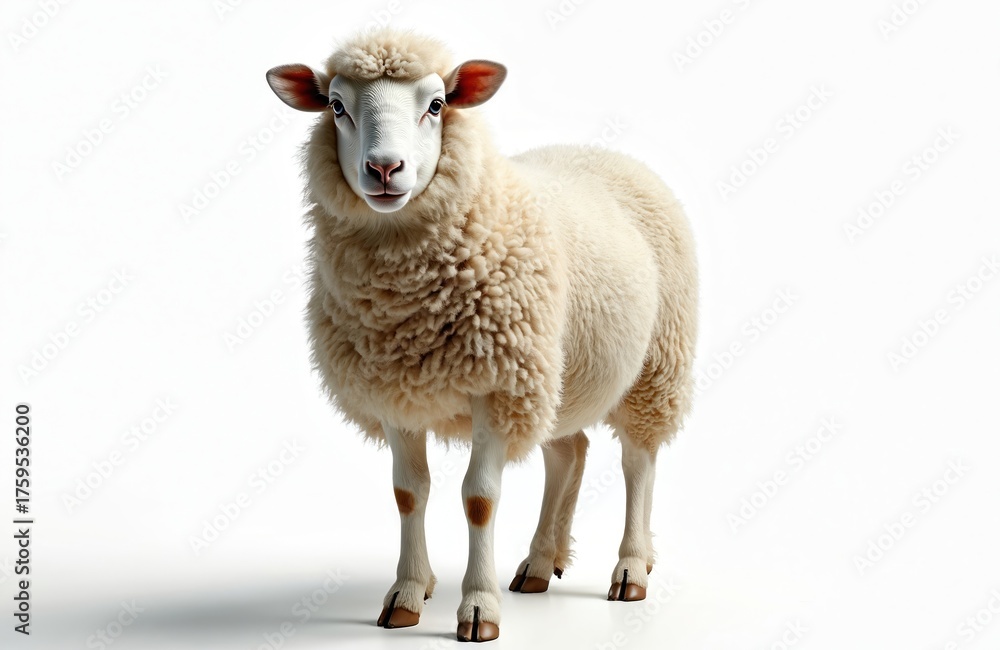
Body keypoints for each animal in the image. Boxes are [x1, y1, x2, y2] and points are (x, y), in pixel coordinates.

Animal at [266, 28, 698, 643]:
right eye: (336, 106)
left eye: (437, 104)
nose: (384, 169)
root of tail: (607, 154)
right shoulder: (396, 392)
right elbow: (408, 493)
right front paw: (408, 592)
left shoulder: (497, 387)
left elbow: (480, 500)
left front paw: (477, 607)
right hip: (554, 375)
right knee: (568, 454)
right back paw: (540, 563)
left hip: (655, 365)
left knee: (637, 462)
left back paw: (631, 568)